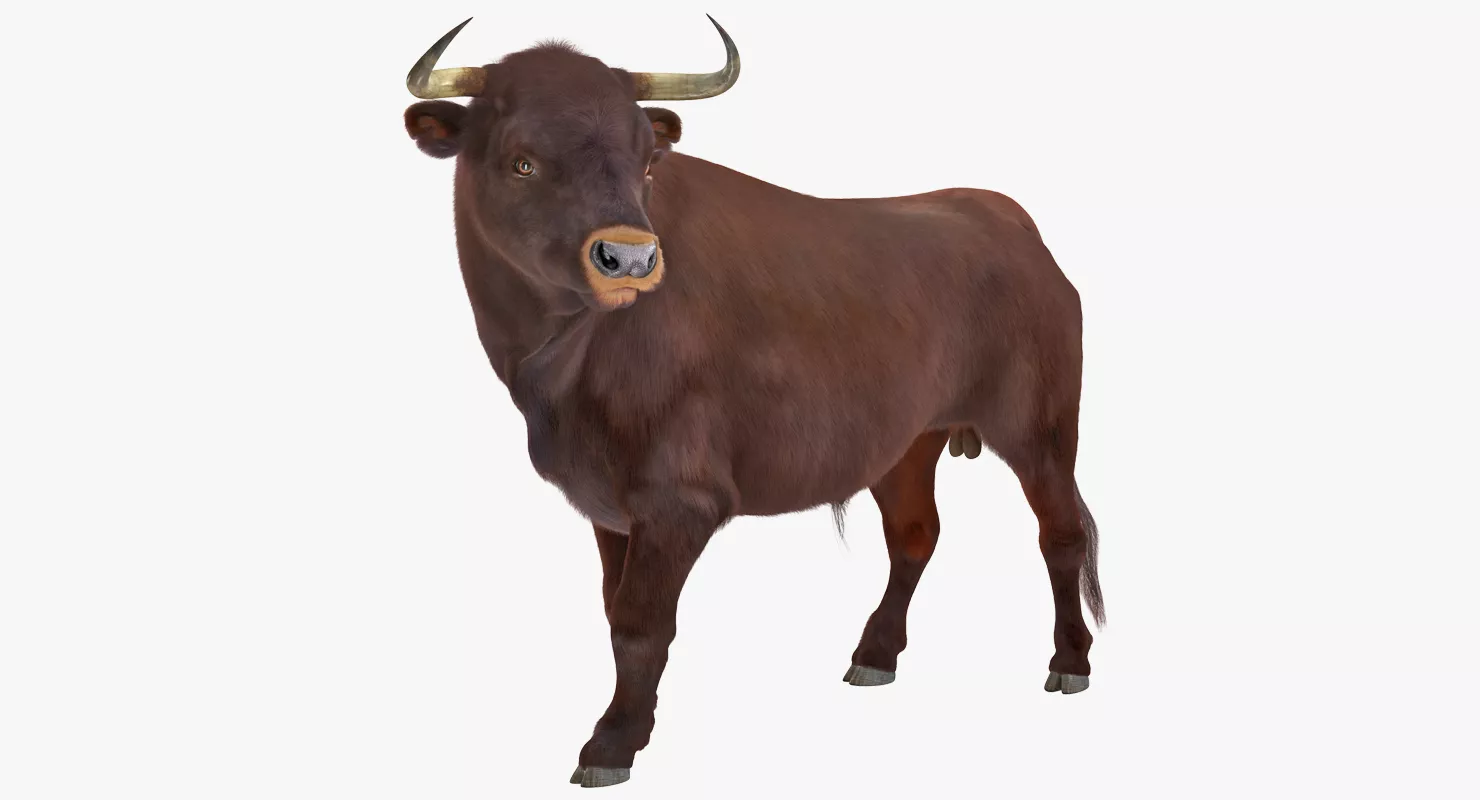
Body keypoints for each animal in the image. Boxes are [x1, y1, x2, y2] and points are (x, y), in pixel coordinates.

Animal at [402, 16, 1104, 788]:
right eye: (521, 161)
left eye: (646, 162)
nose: (630, 260)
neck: (560, 363)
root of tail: (1003, 216)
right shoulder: (609, 505)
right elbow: (615, 610)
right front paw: (632, 728)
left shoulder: (677, 499)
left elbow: (640, 624)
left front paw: (611, 744)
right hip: (908, 441)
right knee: (916, 533)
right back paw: (875, 655)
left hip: (1041, 428)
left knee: (1061, 533)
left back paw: (1070, 662)